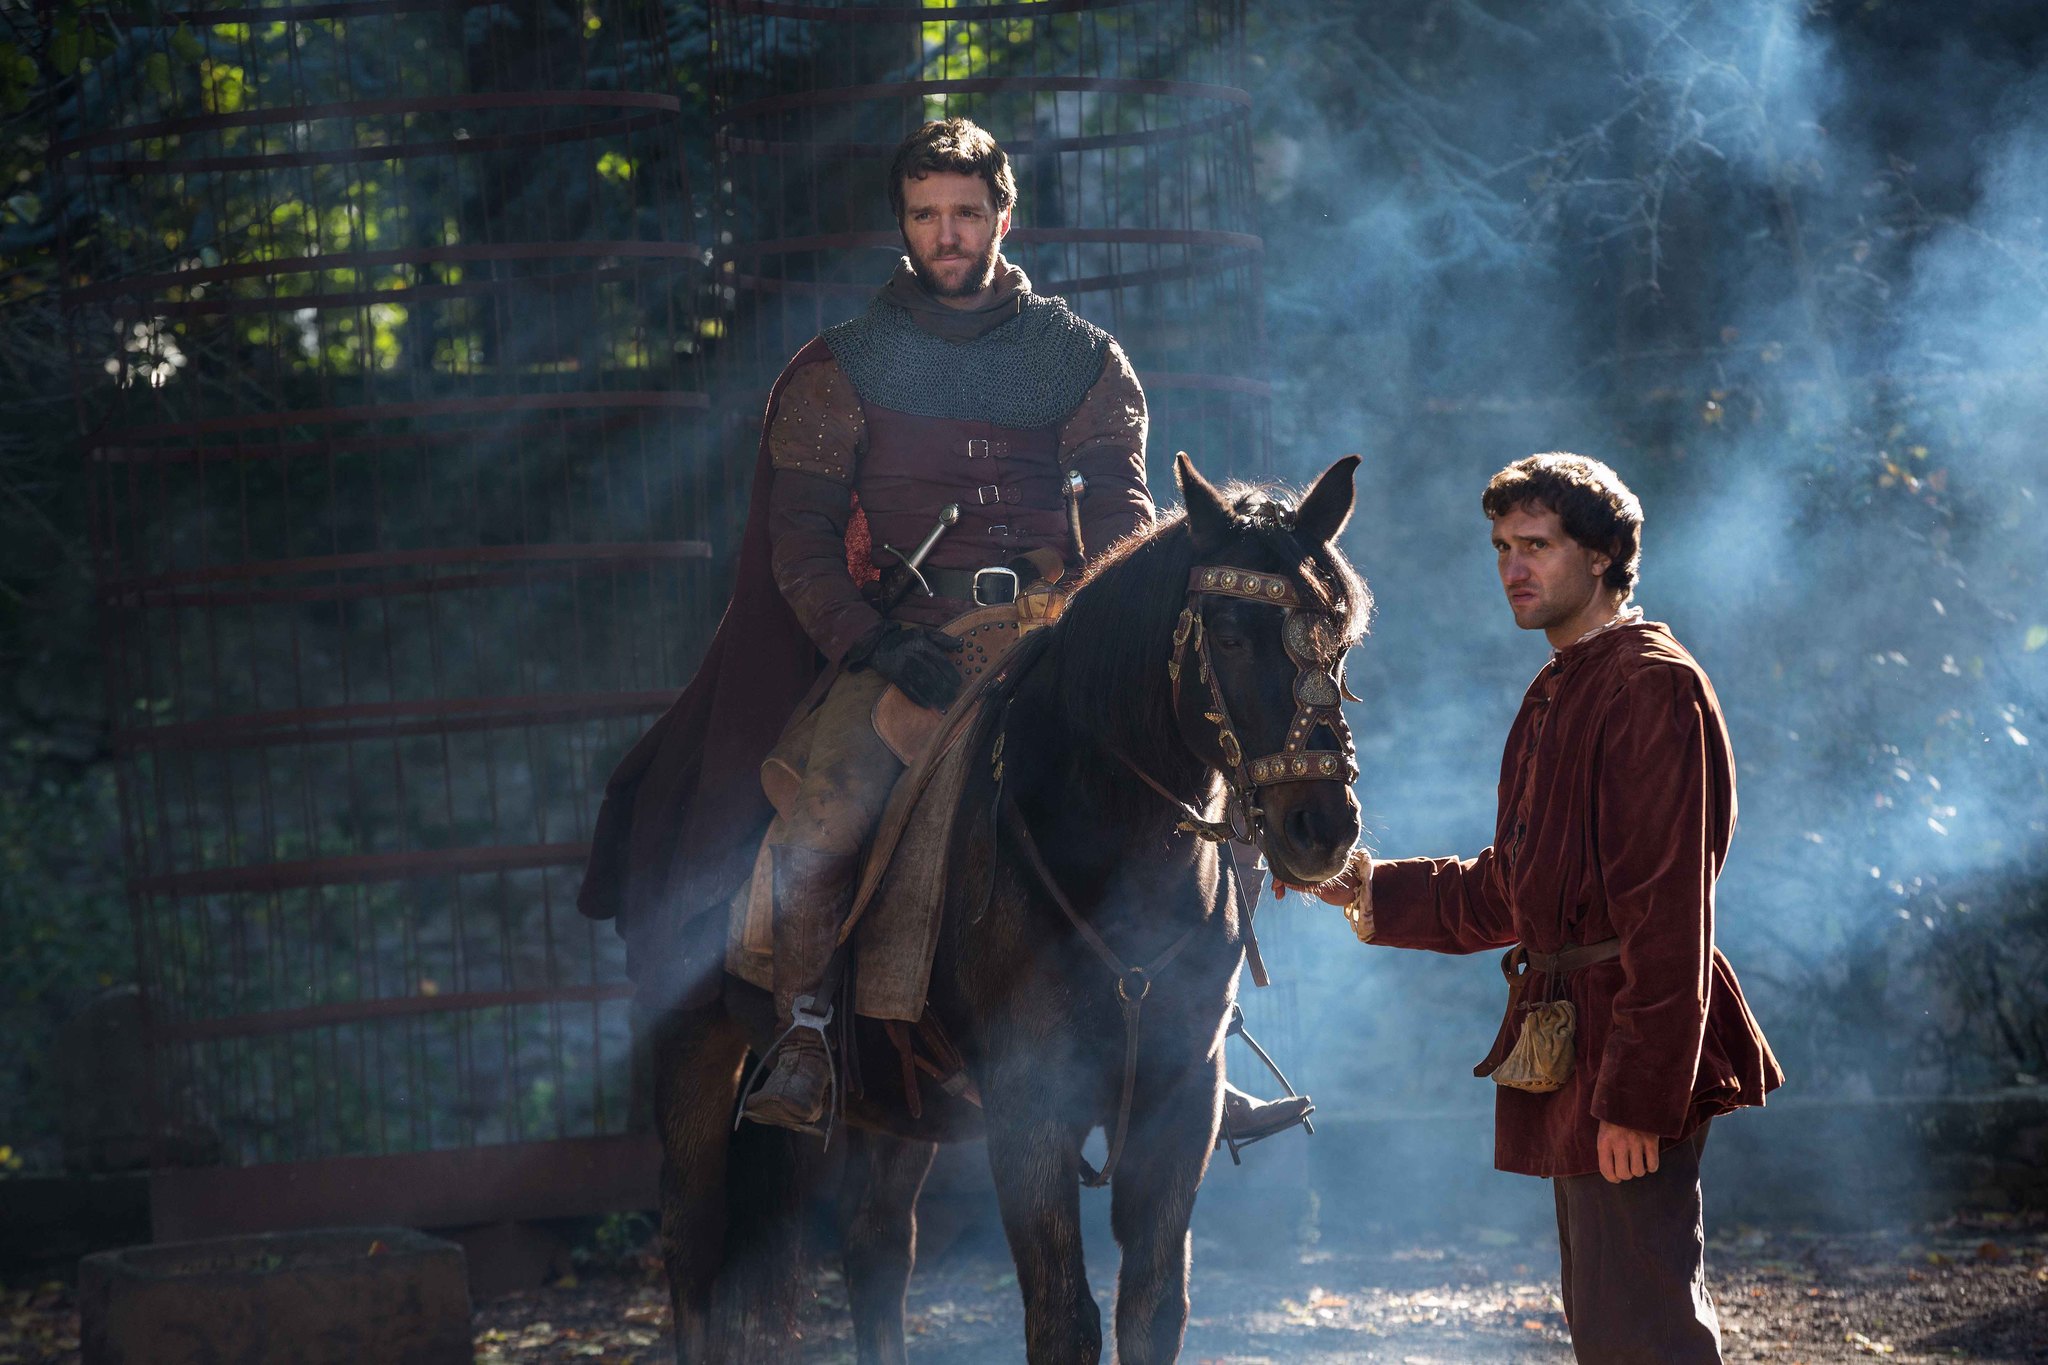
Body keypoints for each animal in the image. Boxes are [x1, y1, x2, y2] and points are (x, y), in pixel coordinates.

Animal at [647, 454, 1368, 1358]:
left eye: (1339, 637)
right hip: (692, 1052)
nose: (1322, 826)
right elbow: (1064, 1316)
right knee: (695, 1256)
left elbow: (1153, 1307)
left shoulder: (1181, 1102)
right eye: (1231, 635)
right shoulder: (1031, 1106)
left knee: (875, 1251)